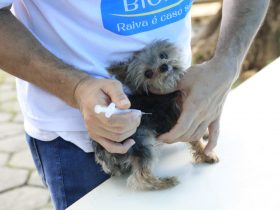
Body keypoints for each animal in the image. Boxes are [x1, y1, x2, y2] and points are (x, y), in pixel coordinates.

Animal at [92, 39, 219, 190]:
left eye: (163, 55)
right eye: (148, 73)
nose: (164, 66)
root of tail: (100, 148)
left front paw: (205, 133)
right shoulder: (185, 120)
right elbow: (196, 141)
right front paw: (207, 155)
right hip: (143, 142)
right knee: (141, 177)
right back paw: (166, 182)